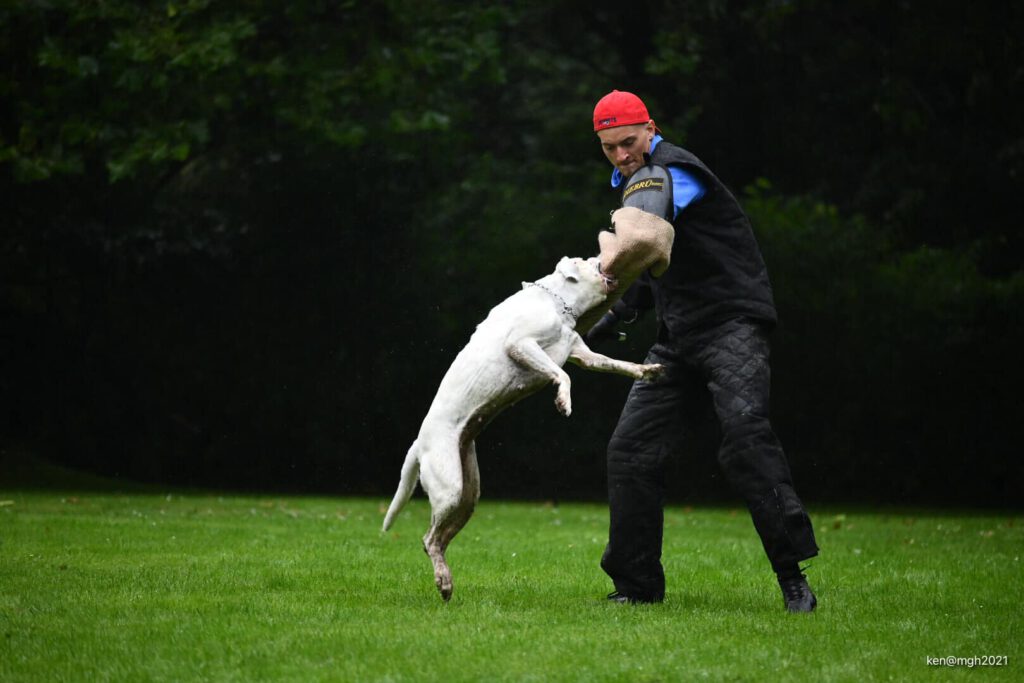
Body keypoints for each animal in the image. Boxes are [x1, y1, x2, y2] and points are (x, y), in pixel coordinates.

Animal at [385, 254, 663, 598]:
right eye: (585, 260)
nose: (600, 257)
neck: (558, 304)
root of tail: (418, 444)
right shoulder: (522, 345)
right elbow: (562, 374)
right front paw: (563, 401)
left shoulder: (582, 354)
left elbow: (615, 365)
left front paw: (646, 371)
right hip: (449, 488)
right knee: (429, 539)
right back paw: (443, 581)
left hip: (468, 496)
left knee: (436, 539)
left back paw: (446, 579)